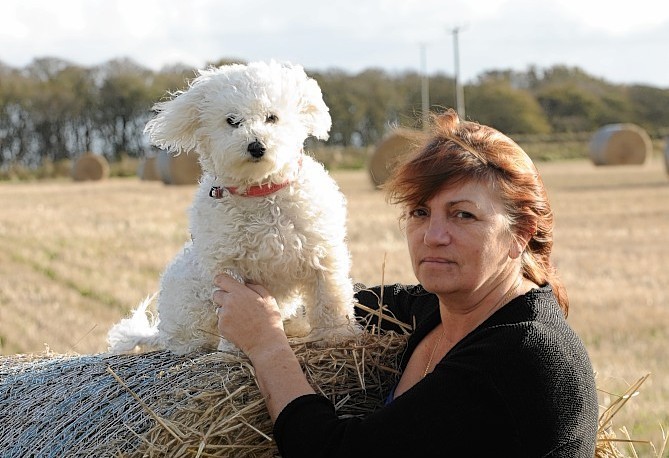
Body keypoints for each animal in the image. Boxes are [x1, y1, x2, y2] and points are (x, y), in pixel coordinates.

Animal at [108, 60, 360, 354]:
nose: (256, 146)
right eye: (232, 121)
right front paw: (233, 350)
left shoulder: (322, 254)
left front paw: (338, 334)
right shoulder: (229, 268)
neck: (261, 192)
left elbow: (330, 297)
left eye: (271, 117)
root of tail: (160, 331)